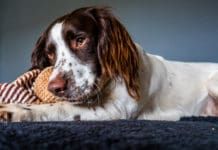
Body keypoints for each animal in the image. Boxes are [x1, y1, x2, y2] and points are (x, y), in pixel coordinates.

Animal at [0, 5, 218, 122]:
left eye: (80, 40)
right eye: (50, 54)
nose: (55, 88)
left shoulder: (117, 109)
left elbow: (61, 107)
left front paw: (15, 110)